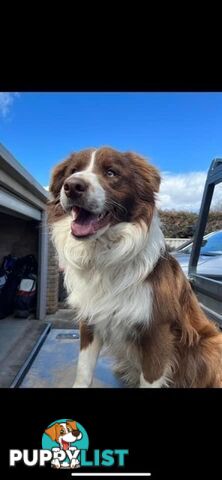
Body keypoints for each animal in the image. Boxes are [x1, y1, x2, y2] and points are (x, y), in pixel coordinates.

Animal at [48, 145, 222, 386]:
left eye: (111, 173)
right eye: (73, 171)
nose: (73, 186)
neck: (104, 254)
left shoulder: (157, 330)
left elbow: (150, 379)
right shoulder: (90, 319)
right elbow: (83, 370)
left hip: (209, 347)